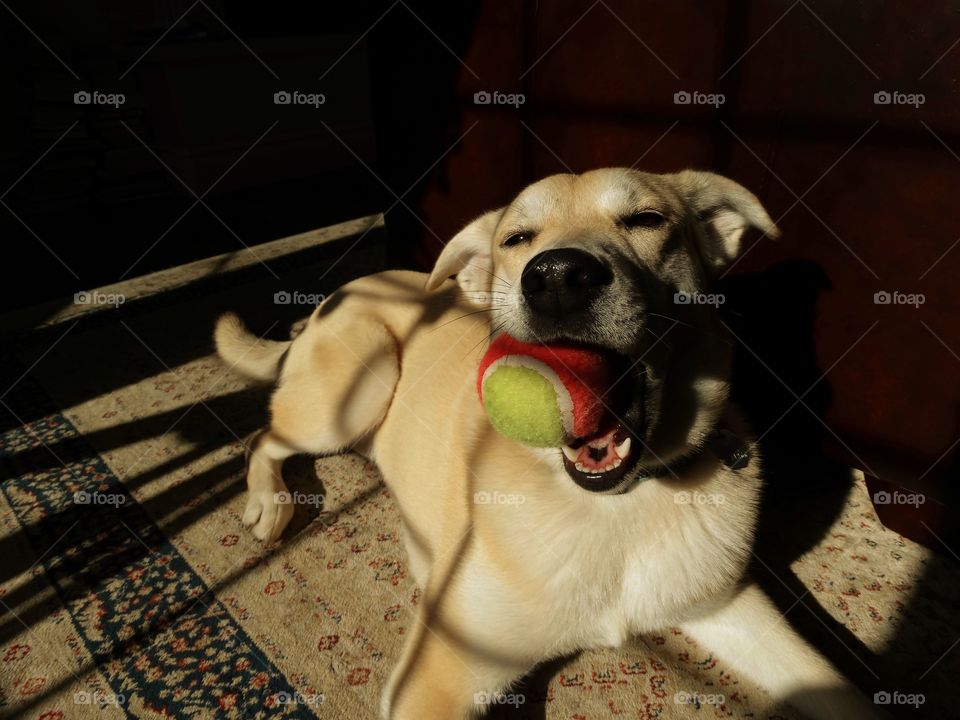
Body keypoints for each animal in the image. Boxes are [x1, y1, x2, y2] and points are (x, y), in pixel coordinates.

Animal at [214, 170, 880, 720]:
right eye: (517, 238)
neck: (616, 505)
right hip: (355, 389)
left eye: (646, 219)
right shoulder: (439, 674)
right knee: (262, 437)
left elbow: (838, 689)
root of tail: (336, 293)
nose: (557, 276)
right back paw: (270, 502)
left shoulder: (730, 603)